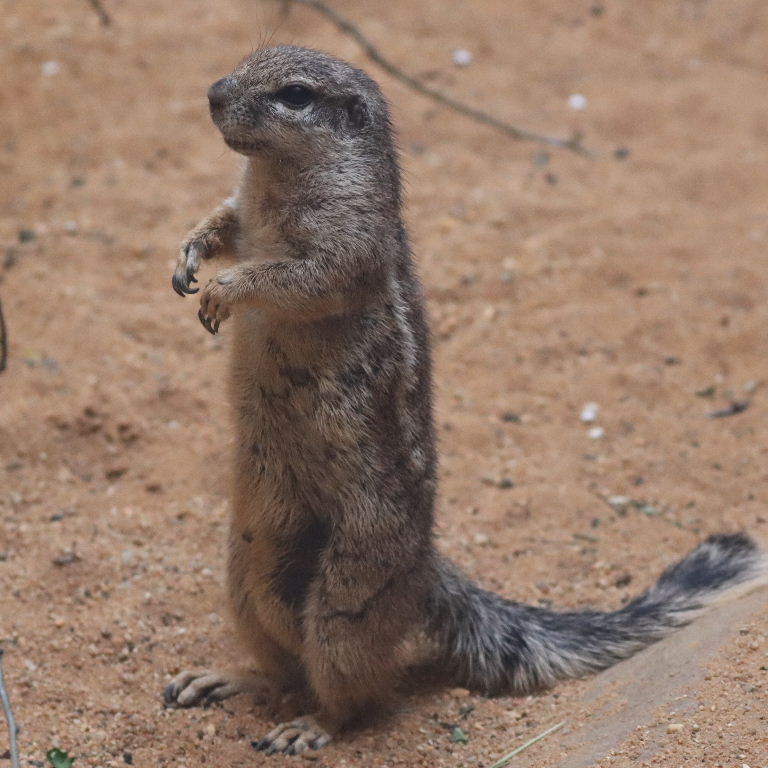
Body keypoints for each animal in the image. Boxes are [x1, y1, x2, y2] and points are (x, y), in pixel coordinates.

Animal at [164, 45, 767, 755]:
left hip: (351, 588)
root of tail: (427, 566)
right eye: (247, 58)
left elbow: (295, 276)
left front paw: (223, 290)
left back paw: (310, 727)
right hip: (248, 560)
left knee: (353, 690)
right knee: (282, 657)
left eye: (295, 95)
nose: (212, 93)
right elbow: (223, 222)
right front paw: (189, 256)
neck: (272, 177)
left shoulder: (345, 244)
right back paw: (226, 678)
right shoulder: (243, 205)